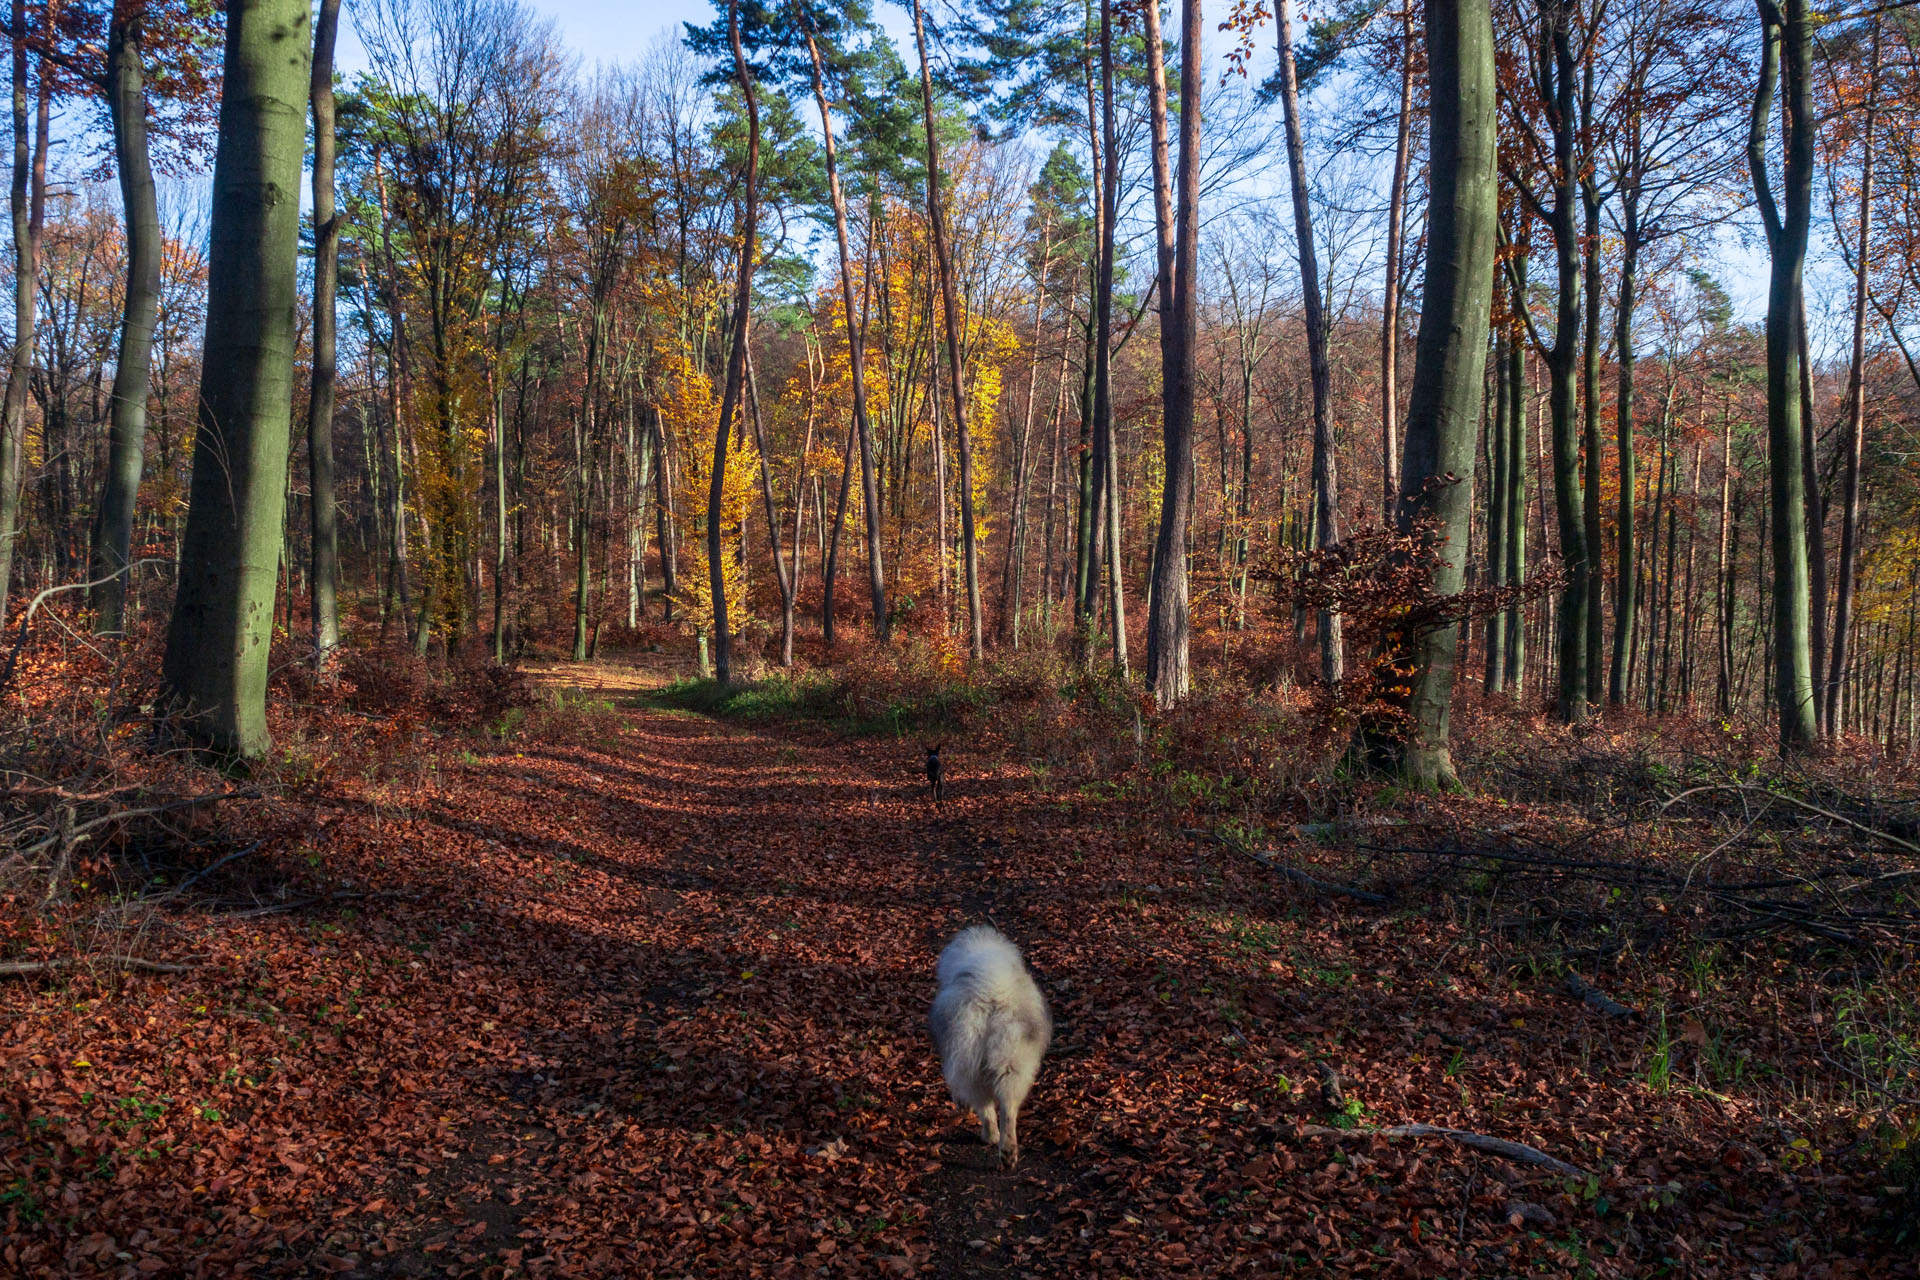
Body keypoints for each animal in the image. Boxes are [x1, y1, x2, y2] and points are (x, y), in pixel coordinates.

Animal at [929, 924, 1052, 1166]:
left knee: (985, 1108)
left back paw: (990, 1137)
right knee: (1008, 1109)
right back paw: (1008, 1151)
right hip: (1013, 1064)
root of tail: (993, 995)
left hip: (972, 1069)